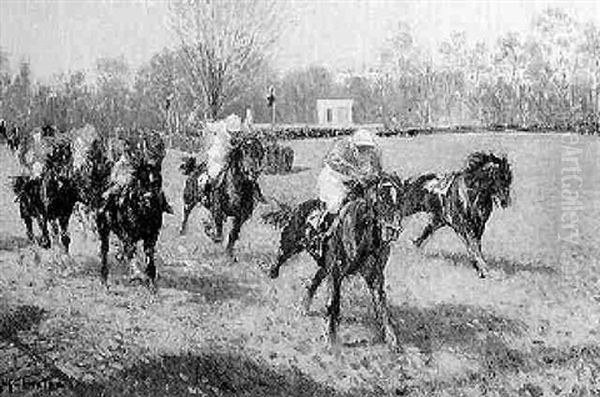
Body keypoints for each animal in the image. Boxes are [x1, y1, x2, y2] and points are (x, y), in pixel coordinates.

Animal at [262, 175, 404, 348]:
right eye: (381, 197)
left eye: (400, 198)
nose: (393, 230)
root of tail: (299, 207)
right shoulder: (336, 273)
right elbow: (333, 303)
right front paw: (331, 339)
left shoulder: (374, 276)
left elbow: (382, 306)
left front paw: (392, 341)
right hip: (291, 244)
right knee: (281, 255)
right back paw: (272, 273)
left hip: (325, 266)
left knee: (314, 280)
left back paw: (303, 308)